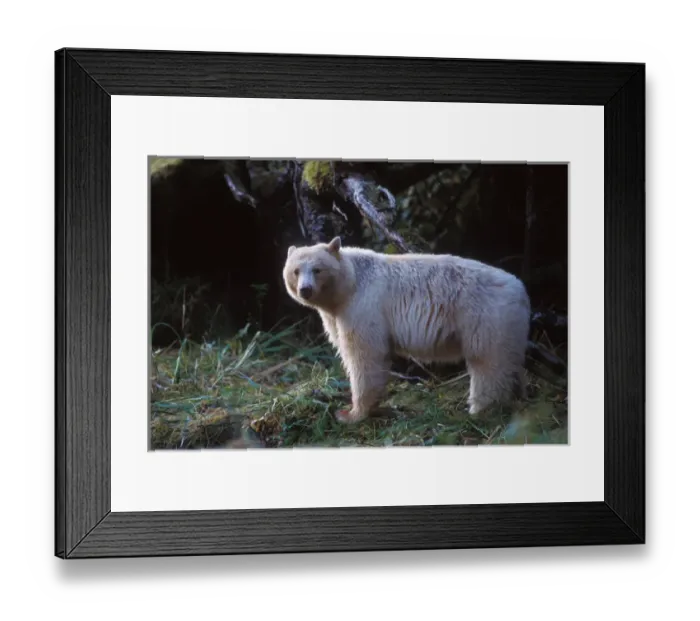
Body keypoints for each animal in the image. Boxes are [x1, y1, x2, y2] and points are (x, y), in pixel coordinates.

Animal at [282, 236, 531, 424]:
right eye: (296, 271)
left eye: (317, 269)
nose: (305, 290)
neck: (350, 283)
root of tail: (520, 290)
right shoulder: (337, 313)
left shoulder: (364, 306)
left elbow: (365, 353)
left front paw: (350, 414)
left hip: (485, 316)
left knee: (488, 363)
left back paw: (481, 410)